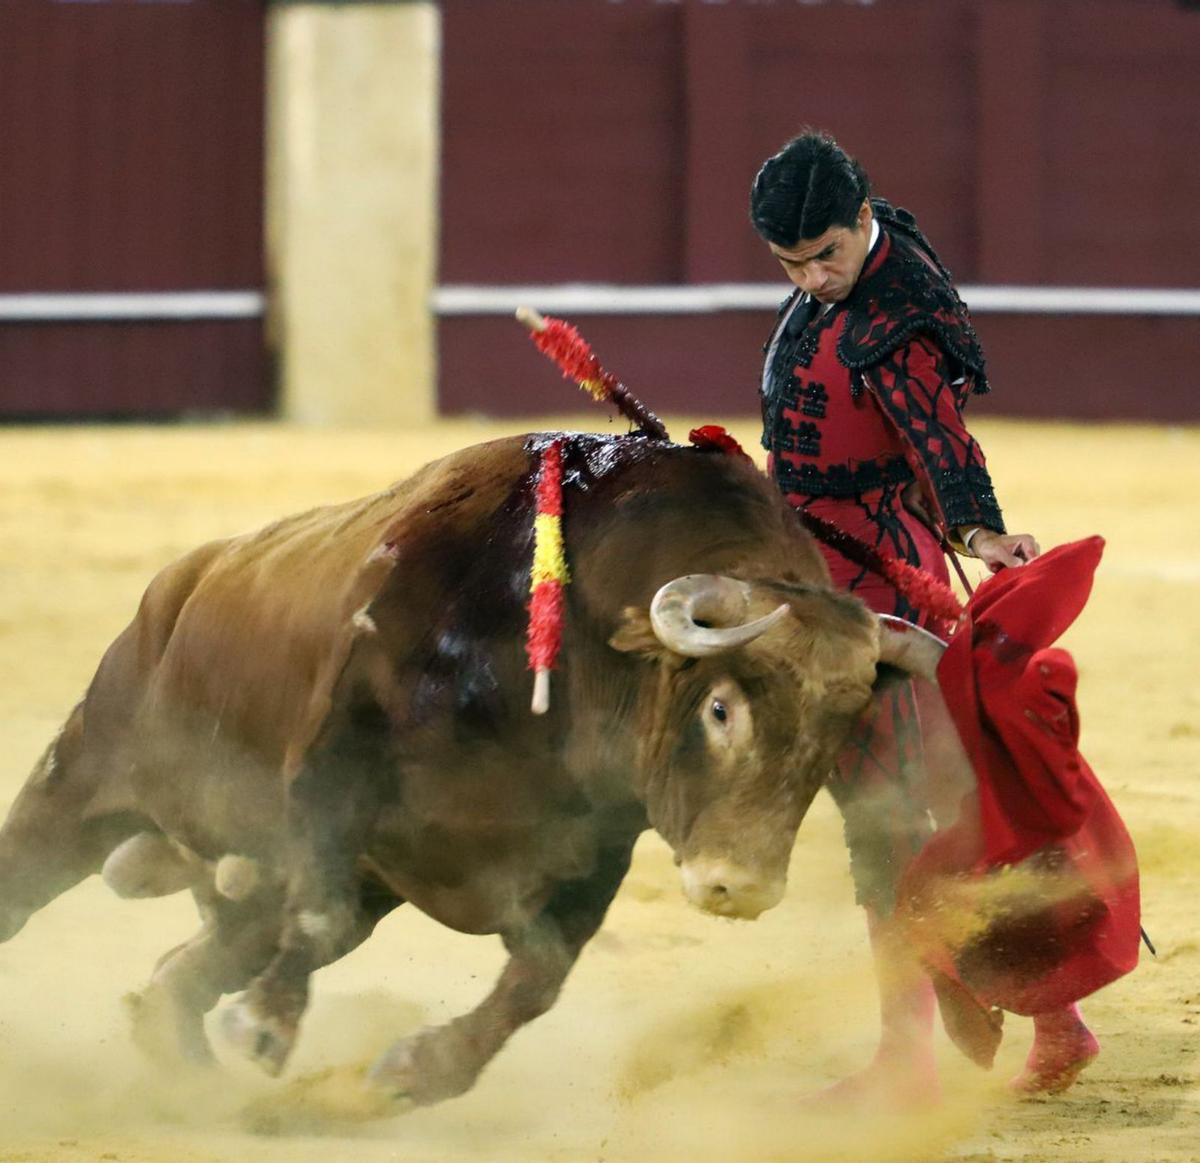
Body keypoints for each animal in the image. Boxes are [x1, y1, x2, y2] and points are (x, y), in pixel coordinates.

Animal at [0, 434, 936, 1108]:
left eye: (838, 733)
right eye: (720, 709)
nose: (738, 887)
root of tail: (183, 579)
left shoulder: (593, 844)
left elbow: (538, 978)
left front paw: (419, 1067)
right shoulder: (336, 764)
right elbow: (322, 914)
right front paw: (264, 1028)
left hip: (271, 888)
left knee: (182, 972)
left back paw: (183, 1066)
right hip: (87, 772)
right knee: (32, 872)